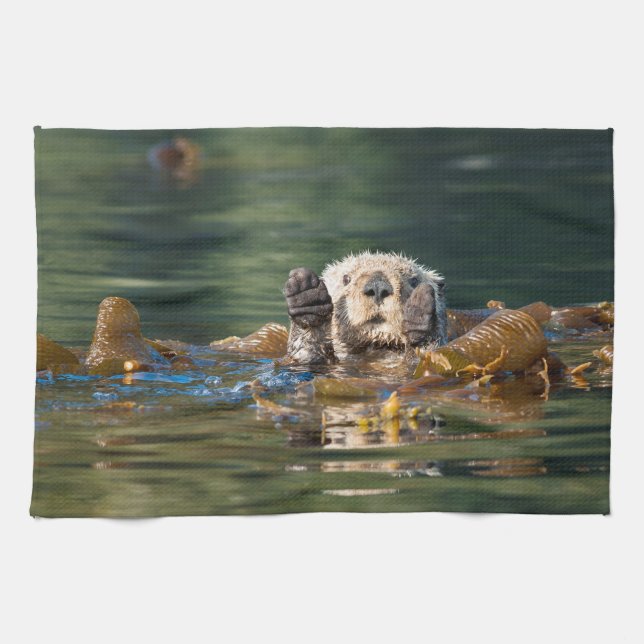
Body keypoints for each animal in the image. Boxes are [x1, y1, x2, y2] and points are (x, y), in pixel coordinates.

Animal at [283, 251, 447, 363]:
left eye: (414, 281)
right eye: (346, 278)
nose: (378, 286)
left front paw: (418, 315)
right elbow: (305, 353)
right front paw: (307, 296)